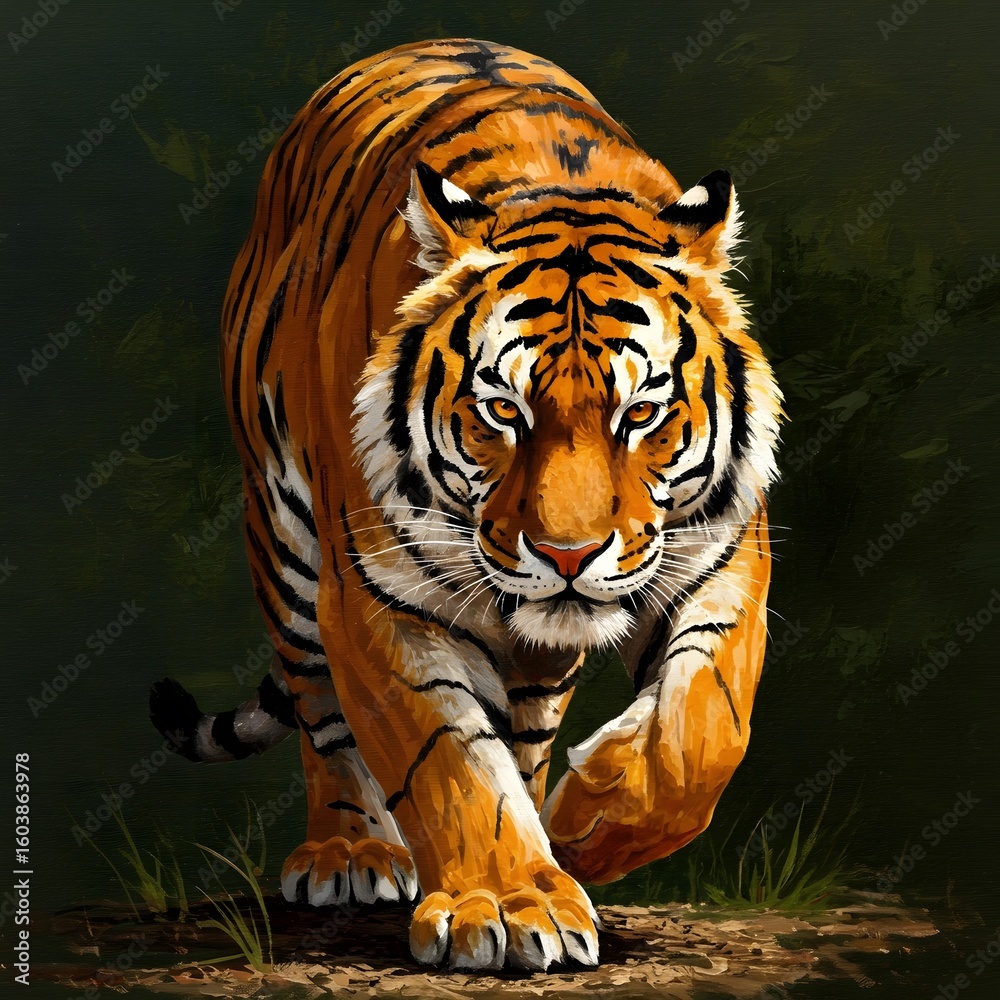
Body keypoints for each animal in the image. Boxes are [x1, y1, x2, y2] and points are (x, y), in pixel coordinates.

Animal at [150, 37, 782, 971]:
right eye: (501, 410)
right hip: (286, 544)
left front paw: (586, 826)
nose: (567, 556)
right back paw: (349, 852)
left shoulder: (724, 563)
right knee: (321, 715)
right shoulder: (374, 597)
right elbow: (445, 759)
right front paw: (513, 903)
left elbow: (703, 729)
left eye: (640, 413)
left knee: (527, 730)